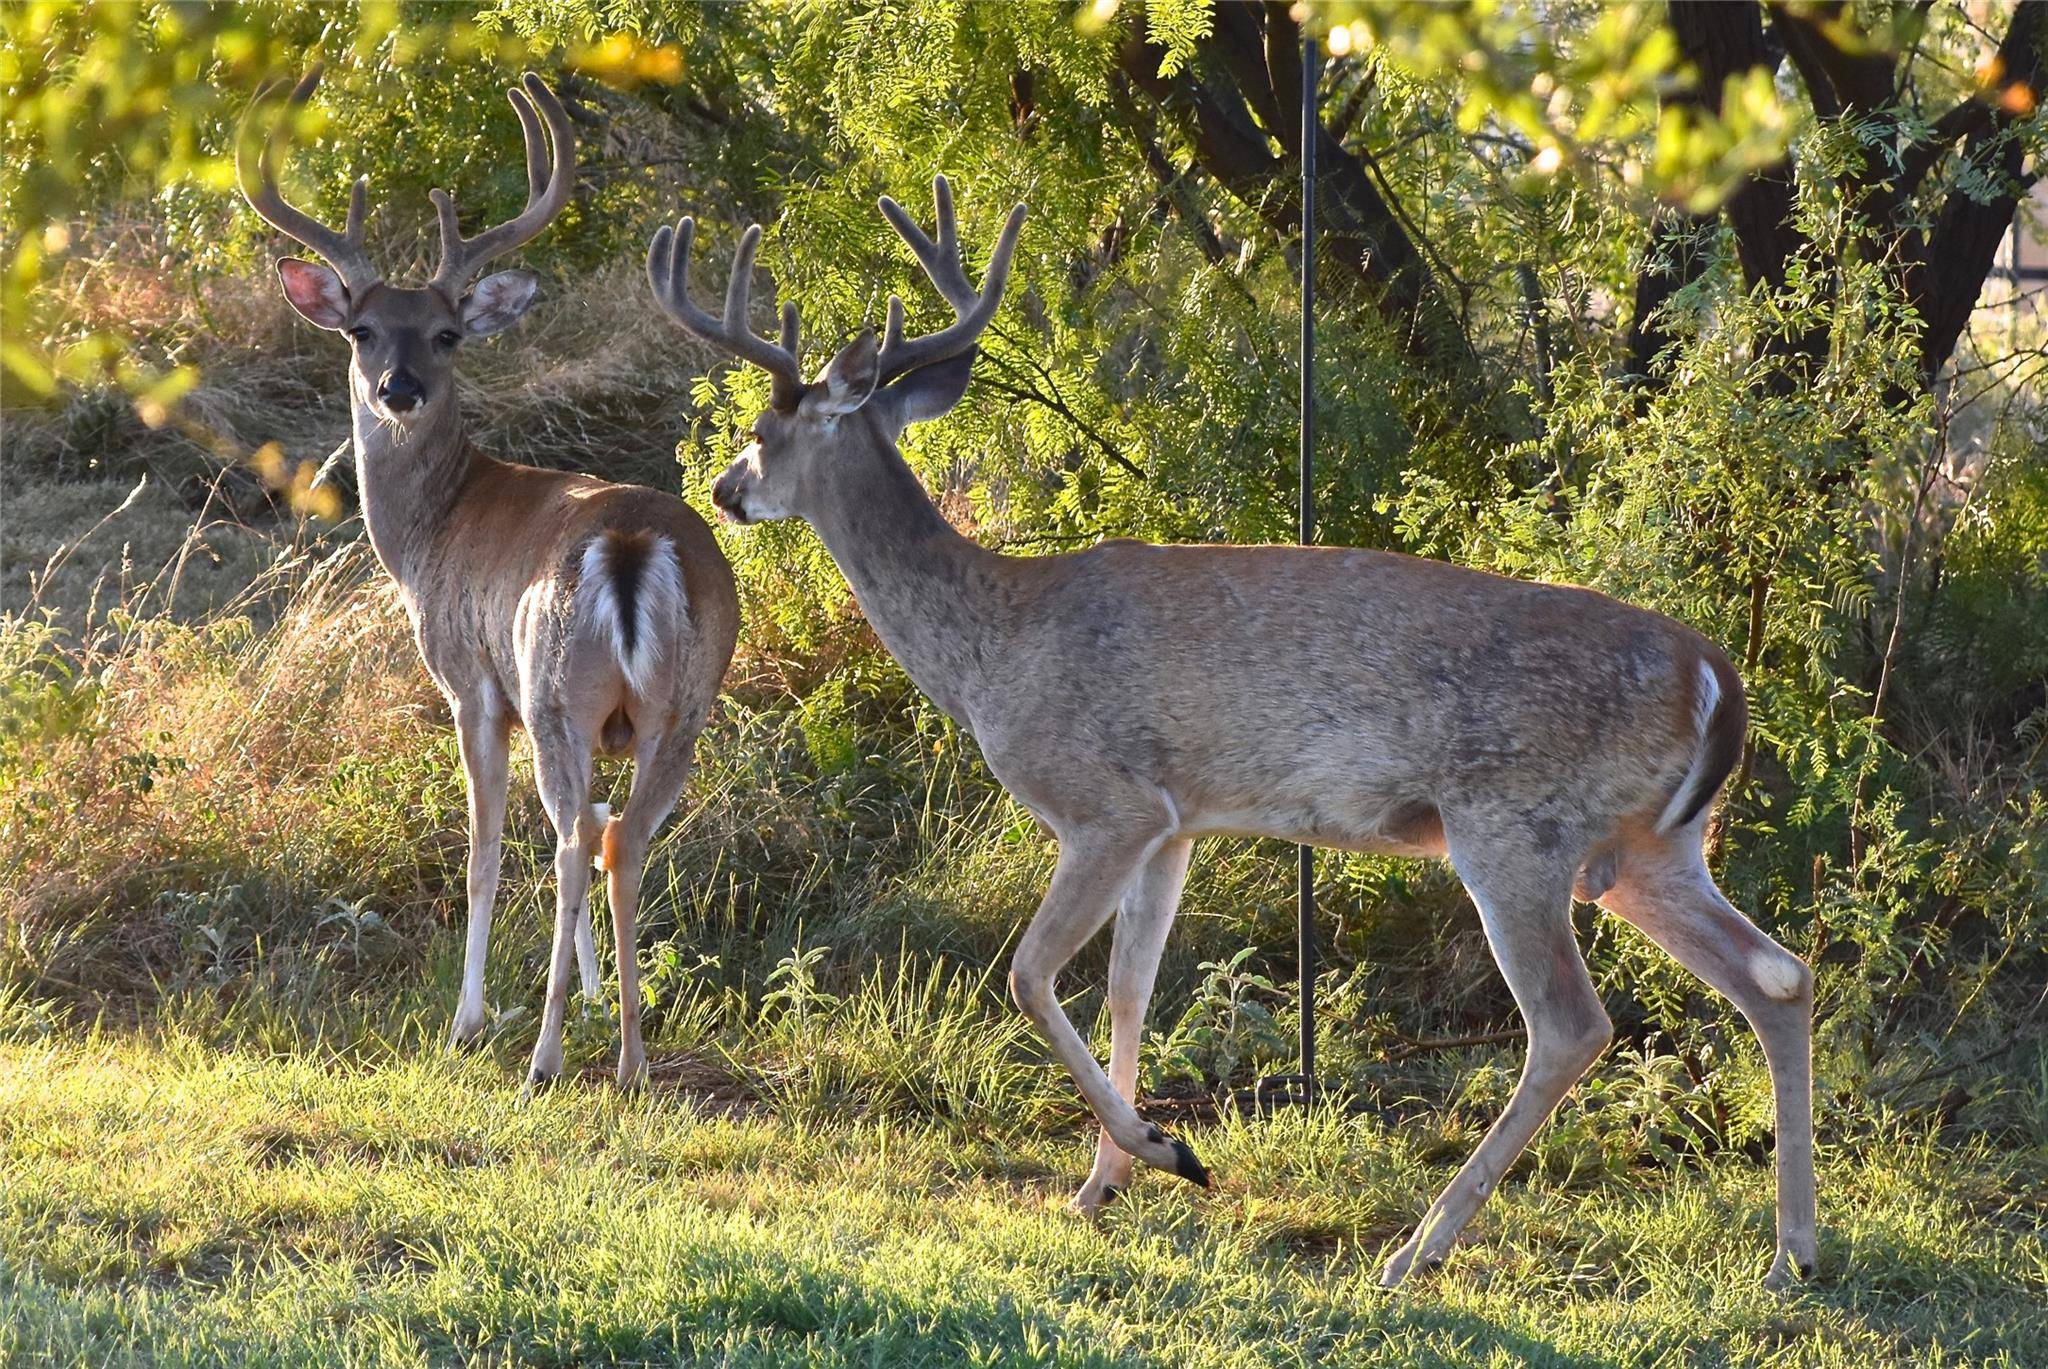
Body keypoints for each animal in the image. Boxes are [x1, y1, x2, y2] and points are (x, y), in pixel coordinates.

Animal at [238, 69, 737, 1090]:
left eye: (447, 333)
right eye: (361, 329)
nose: (397, 389)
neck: (436, 527)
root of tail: (632, 543)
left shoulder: (470, 682)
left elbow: (482, 848)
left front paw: (468, 1017)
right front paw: (595, 996)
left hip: (552, 688)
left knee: (571, 840)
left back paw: (543, 1055)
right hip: (683, 704)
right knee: (619, 837)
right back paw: (628, 1056)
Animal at [647, 179, 1818, 1287]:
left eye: (763, 433)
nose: (723, 488)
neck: (991, 644)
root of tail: (1716, 677)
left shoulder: (1104, 801)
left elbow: (1028, 975)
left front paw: (1165, 1152)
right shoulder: (1176, 820)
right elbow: (1128, 986)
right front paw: (1103, 1181)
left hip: (1515, 823)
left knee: (1572, 1024)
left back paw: (1418, 1248)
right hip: (1649, 847)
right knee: (1777, 975)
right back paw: (1792, 1250)